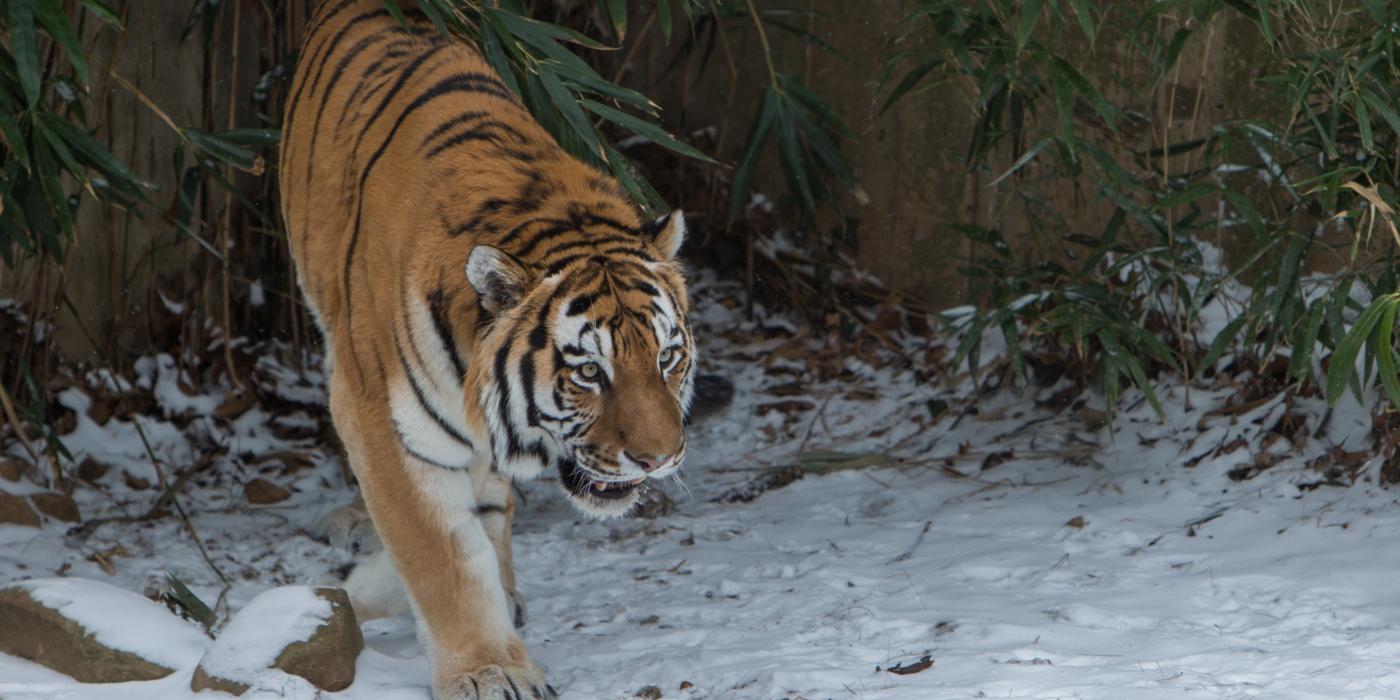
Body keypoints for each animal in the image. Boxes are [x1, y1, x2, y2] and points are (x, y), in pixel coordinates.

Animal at [281, 2, 697, 697]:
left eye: (667, 358)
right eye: (589, 372)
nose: (658, 460)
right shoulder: (380, 422)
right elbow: (443, 557)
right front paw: (489, 670)